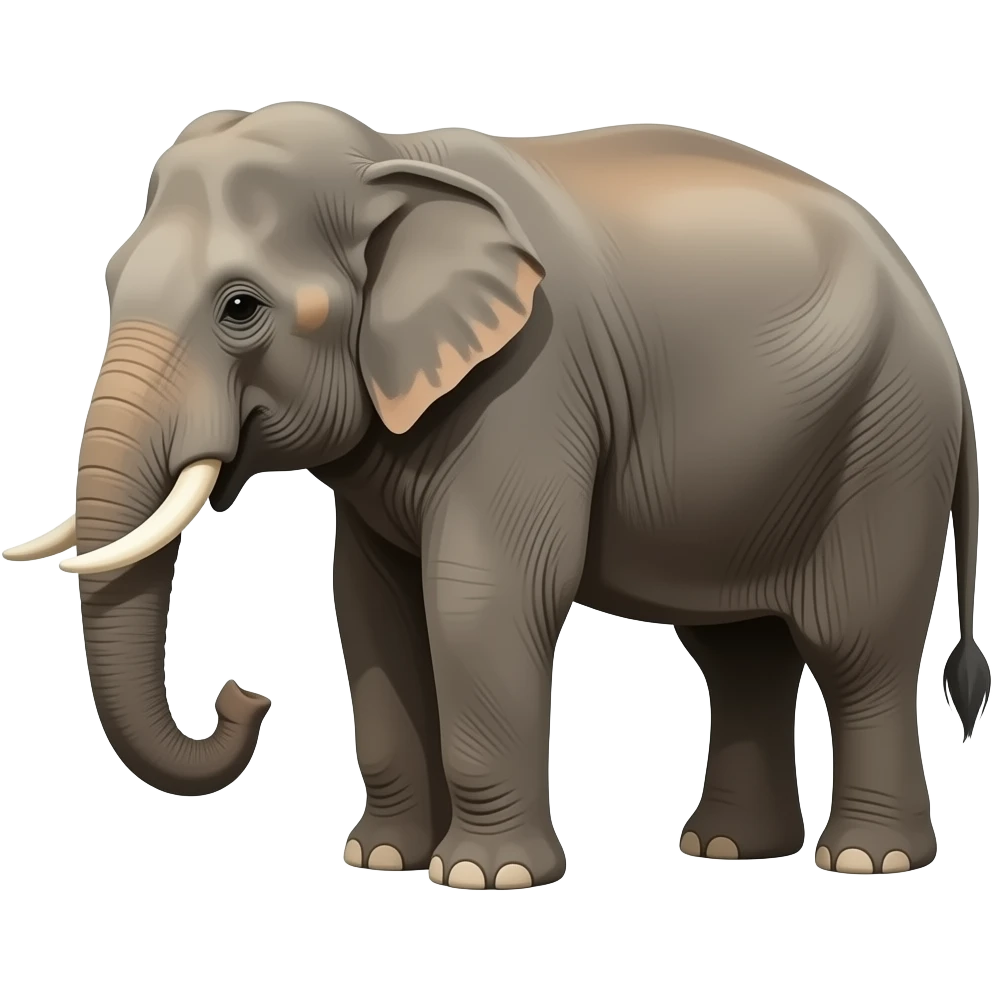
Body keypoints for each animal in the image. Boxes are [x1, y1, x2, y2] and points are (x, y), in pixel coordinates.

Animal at [2, 107, 986, 887]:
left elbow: (479, 596)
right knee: (741, 651)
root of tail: (938, 324)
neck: (387, 156)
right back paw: (728, 850)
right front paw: (380, 860)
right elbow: (372, 610)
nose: (246, 696)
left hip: (887, 444)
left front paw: (483, 876)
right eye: (110, 278)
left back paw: (865, 860)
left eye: (240, 307)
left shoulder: (527, 389)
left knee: (856, 641)